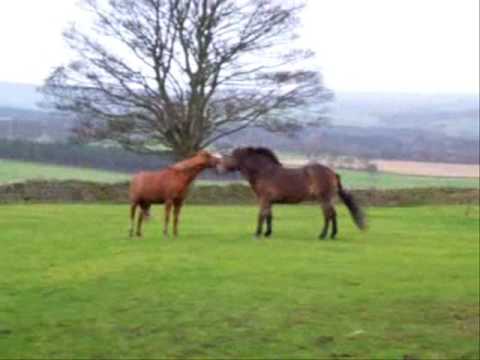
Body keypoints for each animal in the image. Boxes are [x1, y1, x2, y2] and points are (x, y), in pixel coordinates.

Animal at [219, 146, 366, 239]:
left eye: (231, 156)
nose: (220, 168)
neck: (264, 172)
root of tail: (332, 173)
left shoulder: (263, 199)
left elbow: (261, 215)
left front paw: (257, 234)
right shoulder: (269, 201)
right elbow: (269, 216)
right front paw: (267, 233)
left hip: (323, 198)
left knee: (327, 215)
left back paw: (322, 235)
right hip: (329, 199)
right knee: (333, 214)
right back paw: (333, 235)